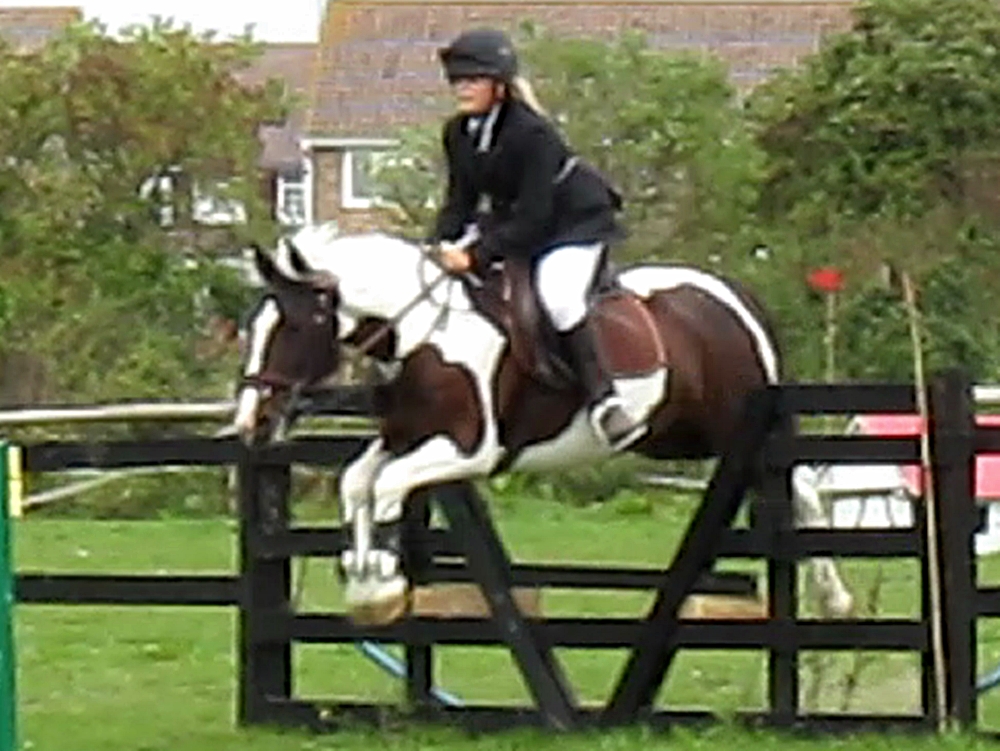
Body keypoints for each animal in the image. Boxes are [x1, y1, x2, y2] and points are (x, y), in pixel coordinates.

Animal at [232, 223, 854, 625]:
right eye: (252, 327)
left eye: (293, 327)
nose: (251, 423)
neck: (422, 337)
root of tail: (733, 296)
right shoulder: (405, 437)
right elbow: (357, 481)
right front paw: (366, 580)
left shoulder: (469, 449)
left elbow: (384, 486)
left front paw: (379, 580)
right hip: (683, 437)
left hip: (734, 427)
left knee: (799, 484)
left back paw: (834, 596)